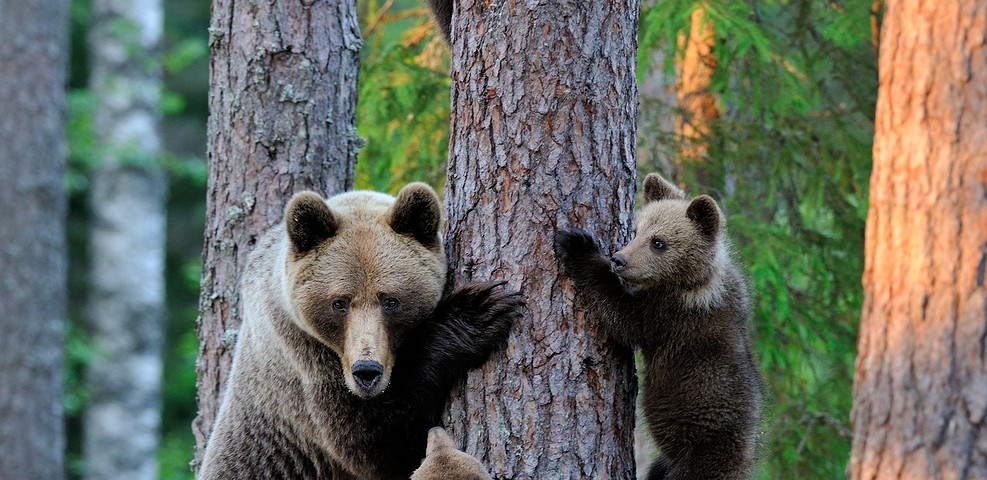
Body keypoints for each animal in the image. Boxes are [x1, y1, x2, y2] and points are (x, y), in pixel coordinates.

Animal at [201, 184, 524, 480]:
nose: (366, 371)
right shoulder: (304, 364)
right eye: (339, 302)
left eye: (391, 300)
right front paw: (478, 309)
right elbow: (377, 444)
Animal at [556, 173, 764, 480]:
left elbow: (625, 318)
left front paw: (577, 244)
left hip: (699, 456)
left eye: (658, 242)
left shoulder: (671, 316)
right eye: (637, 230)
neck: (694, 282)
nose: (619, 259)